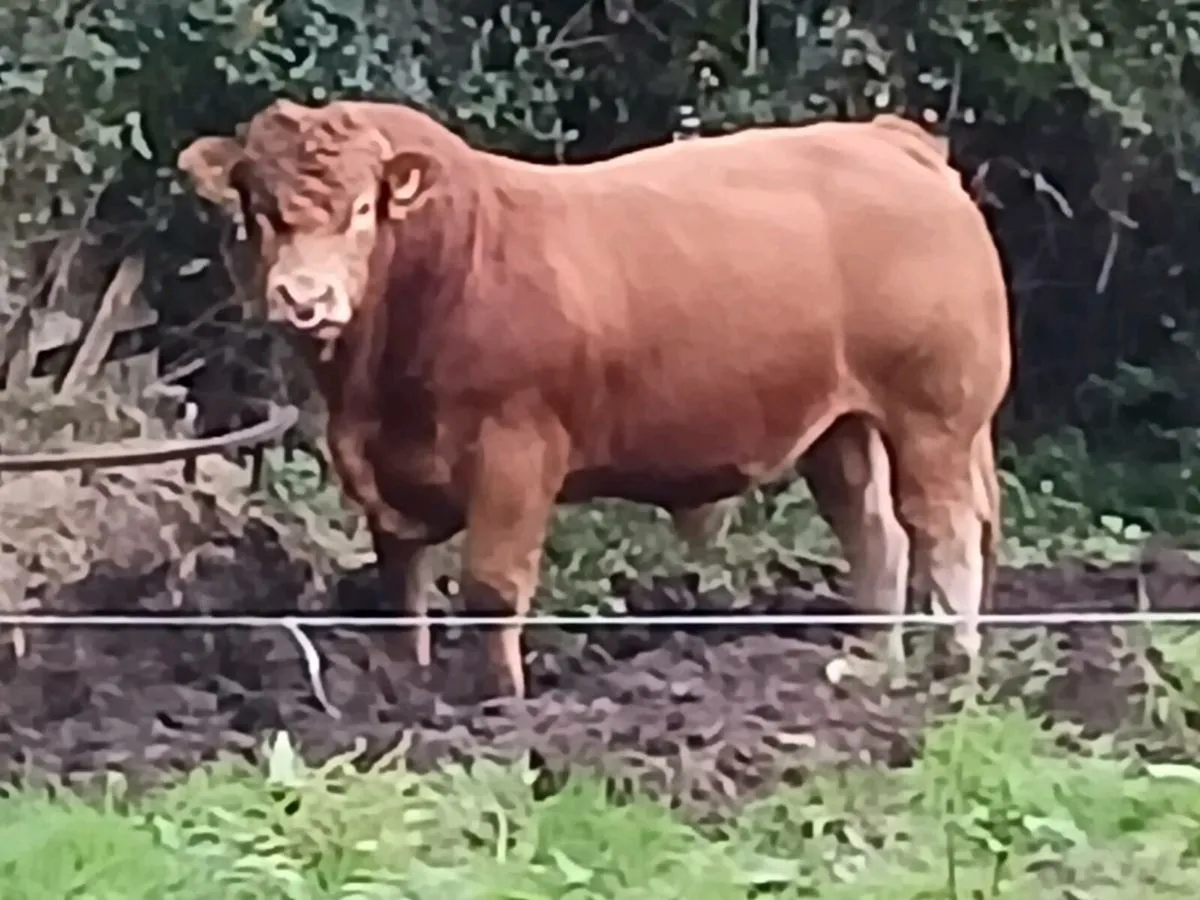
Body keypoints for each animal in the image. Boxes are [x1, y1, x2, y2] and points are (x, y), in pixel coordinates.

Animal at [177, 99, 1009, 698]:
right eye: (260, 212)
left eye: (360, 211)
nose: (304, 299)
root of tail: (888, 139)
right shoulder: (385, 473)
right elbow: (403, 588)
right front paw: (407, 686)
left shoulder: (515, 451)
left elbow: (491, 587)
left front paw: (500, 703)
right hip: (841, 428)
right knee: (876, 537)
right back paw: (873, 666)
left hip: (935, 415)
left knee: (946, 531)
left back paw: (954, 670)